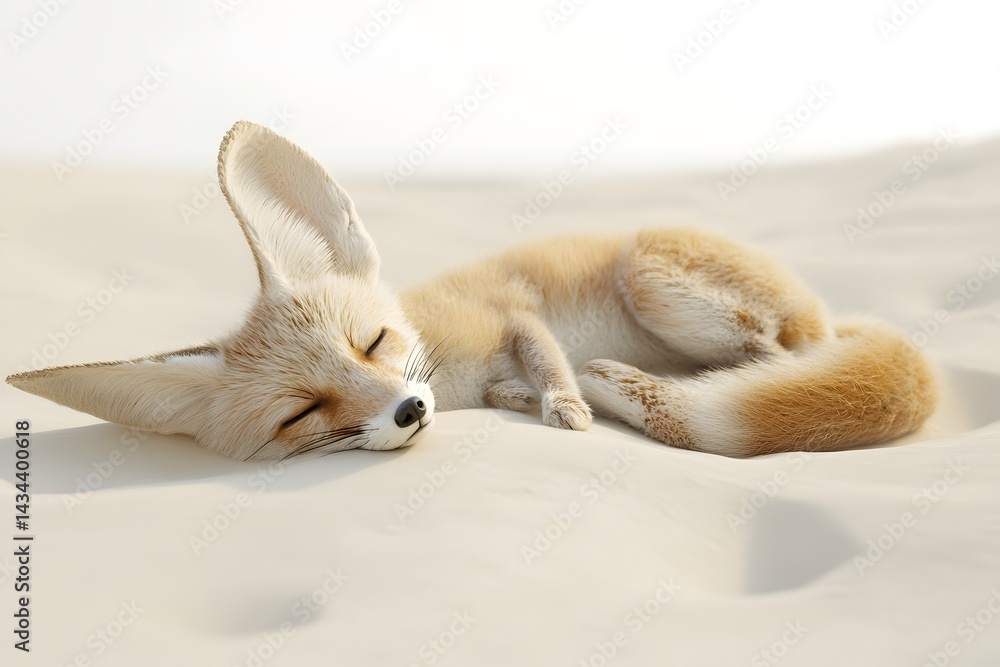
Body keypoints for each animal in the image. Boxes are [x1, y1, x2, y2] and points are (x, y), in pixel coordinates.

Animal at [6, 121, 938, 461]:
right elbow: (516, 385)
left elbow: (546, 357)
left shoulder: (511, 316)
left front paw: (564, 405)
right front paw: (534, 402)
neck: (444, 365)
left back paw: (652, 386)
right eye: (301, 414)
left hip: (654, 275)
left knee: (780, 357)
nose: (409, 409)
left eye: (373, 343)